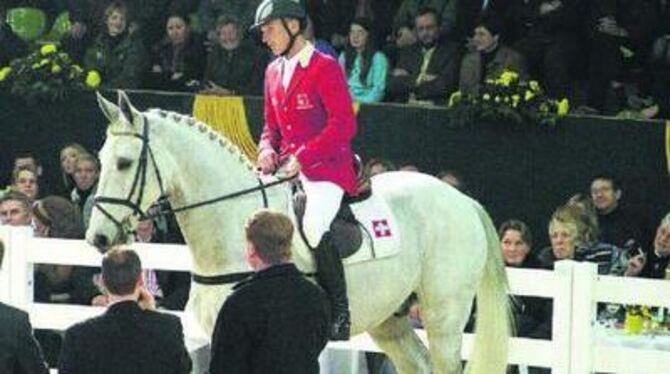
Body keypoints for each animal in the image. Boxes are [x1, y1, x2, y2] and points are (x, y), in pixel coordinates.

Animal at [85, 91, 516, 374]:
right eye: (103, 159)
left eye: (124, 163)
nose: (98, 239)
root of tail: (462, 200)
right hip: (390, 320)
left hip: (444, 316)